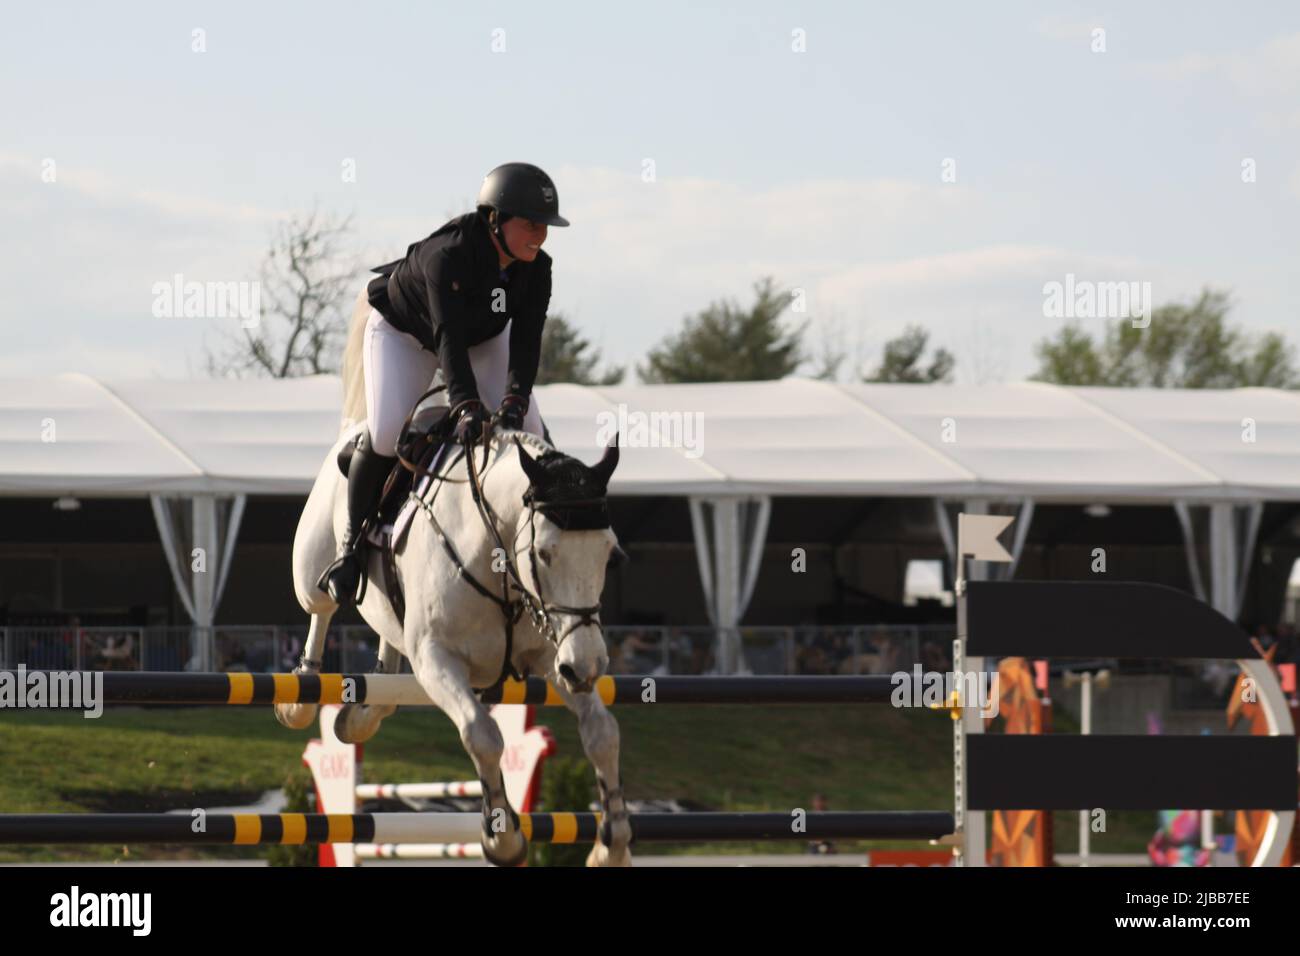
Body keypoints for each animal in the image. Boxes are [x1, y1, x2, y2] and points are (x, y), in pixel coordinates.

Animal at [276, 290, 632, 866]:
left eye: (610, 556)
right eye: (545, 552)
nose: (589, 666)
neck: (498, 556)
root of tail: (352, 431)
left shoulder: (551, 652)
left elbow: (603, 732)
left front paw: (612, 845)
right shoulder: (439, 659)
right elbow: (482, 734)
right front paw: (502, 836)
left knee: (388, 652)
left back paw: (363, 713)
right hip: (311, 567)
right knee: (321, 609)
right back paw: (300, 696)